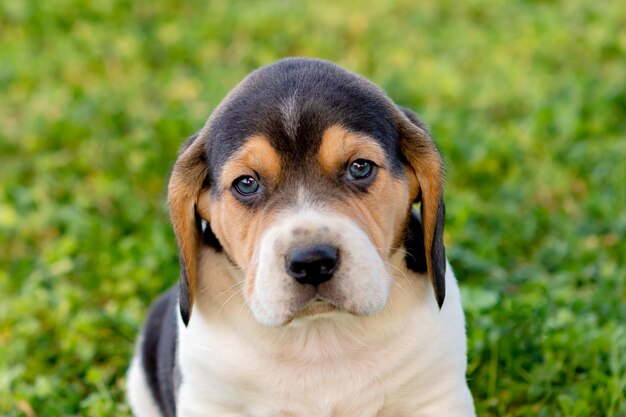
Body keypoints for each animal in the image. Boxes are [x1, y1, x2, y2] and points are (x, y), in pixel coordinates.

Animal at [127, 56, 472, 416]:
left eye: (360, 167)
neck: (320, 334)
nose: (312, 262)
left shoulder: (438, 397)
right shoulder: (210, 402)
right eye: (246, 184)